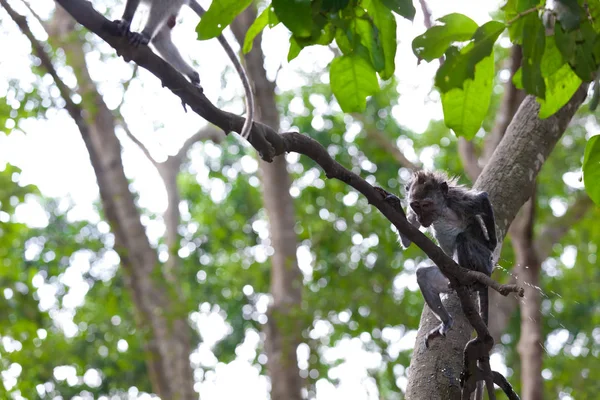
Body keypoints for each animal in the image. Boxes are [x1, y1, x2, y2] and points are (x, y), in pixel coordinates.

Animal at [380, 170, 496, 348]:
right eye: (416, 206)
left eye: (426, 205)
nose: (421, 218)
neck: (441, 211)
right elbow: (407, 239)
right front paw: (394, 203)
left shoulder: (457, 200)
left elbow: (483, 199)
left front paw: (492, 243)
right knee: (423, 275)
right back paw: (447, 319)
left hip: (481, 261)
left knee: (463, 238)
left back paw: (471, 280)